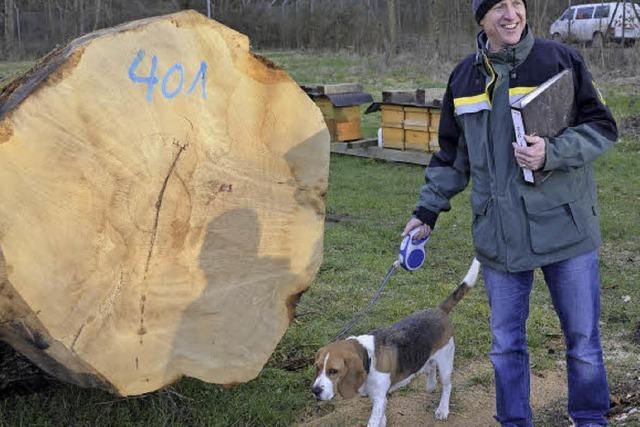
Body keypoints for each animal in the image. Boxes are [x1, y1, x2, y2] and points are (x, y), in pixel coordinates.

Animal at [310, 260, 480, 426]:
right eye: (317, 367)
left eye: (333, 371)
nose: (315, 391)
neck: (369, 359)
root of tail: (439, 310)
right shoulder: (378, 397)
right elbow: (381, 416)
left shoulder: (379, 398)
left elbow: (374, 421)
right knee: (430, 366)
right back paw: (431, 385)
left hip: (446, 361)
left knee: (447, 385)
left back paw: (443, 409)